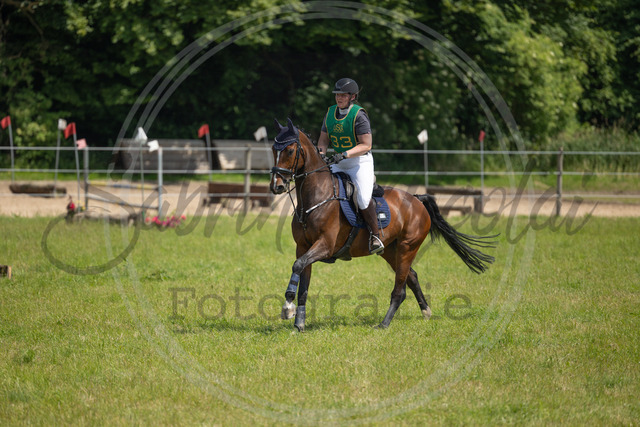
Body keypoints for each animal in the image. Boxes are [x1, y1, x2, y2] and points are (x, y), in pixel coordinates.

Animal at [270, 118, 496, 331]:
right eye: (273, 149)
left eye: (290, 150)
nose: (276, 186)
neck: (315, 197)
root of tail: (416, 199)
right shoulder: (303, 247)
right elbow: (302, 281)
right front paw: (298, 323)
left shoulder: (325, 245)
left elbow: (297, 266)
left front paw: (287, 306)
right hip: (390, 250)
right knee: (411, 277)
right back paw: (426, 312)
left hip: (407, 246)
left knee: (400, 288)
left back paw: (384, 324)